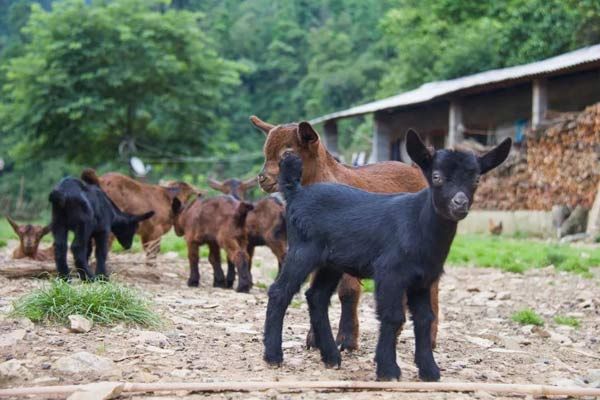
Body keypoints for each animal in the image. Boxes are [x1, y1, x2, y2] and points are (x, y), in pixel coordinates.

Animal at [251, 115, 428, 352]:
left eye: (287, 153)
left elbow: (347, 291)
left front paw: (346, 340)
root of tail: (414, 169)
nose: (262, 178)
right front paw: (315, 339)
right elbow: (315, 289)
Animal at [263, 130, 511, 381]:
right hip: (302, 251)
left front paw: (429, 370)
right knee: (279, 292)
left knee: (317, 296)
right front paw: (388, 370)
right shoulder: (390, 272)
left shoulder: (422, 280)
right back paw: (274, 356)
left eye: (476, 180)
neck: (417, 223)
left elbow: (424, 318)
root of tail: (297, 192)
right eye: (437, 177)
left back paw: (331, 357)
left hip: (330, 262)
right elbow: (392, 316)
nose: (459, 203)